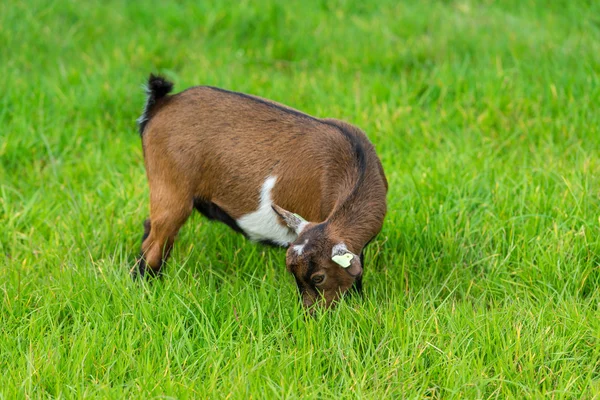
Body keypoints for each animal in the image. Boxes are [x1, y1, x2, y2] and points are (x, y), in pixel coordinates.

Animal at [135, 73, 390, 308]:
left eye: (319, 277)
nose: (310, 315)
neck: (355, 163)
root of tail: (163, 102)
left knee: (150, 228)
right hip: (169, 186)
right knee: (155, 243)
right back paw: (146, 285)